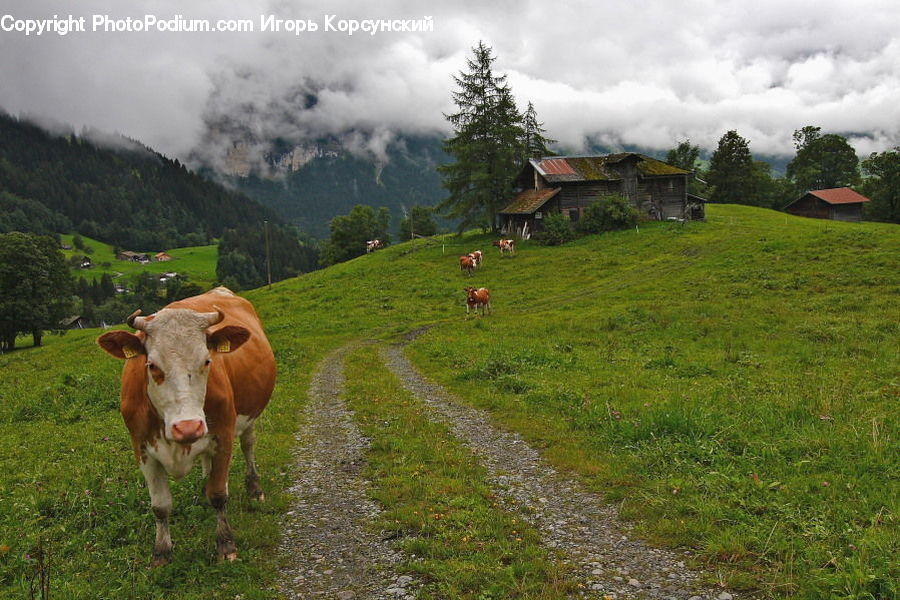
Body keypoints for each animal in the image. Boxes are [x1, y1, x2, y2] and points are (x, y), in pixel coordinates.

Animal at [96, 288, 276, 564]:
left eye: (207, 361)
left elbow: (218, 495)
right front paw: (162, 551)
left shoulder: (223, 437)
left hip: (249, 417)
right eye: (152, 365)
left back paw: (254, 488)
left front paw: (226, 543)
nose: (189, 427)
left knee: (248, 445)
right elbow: (160, 506)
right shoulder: (143, 450)